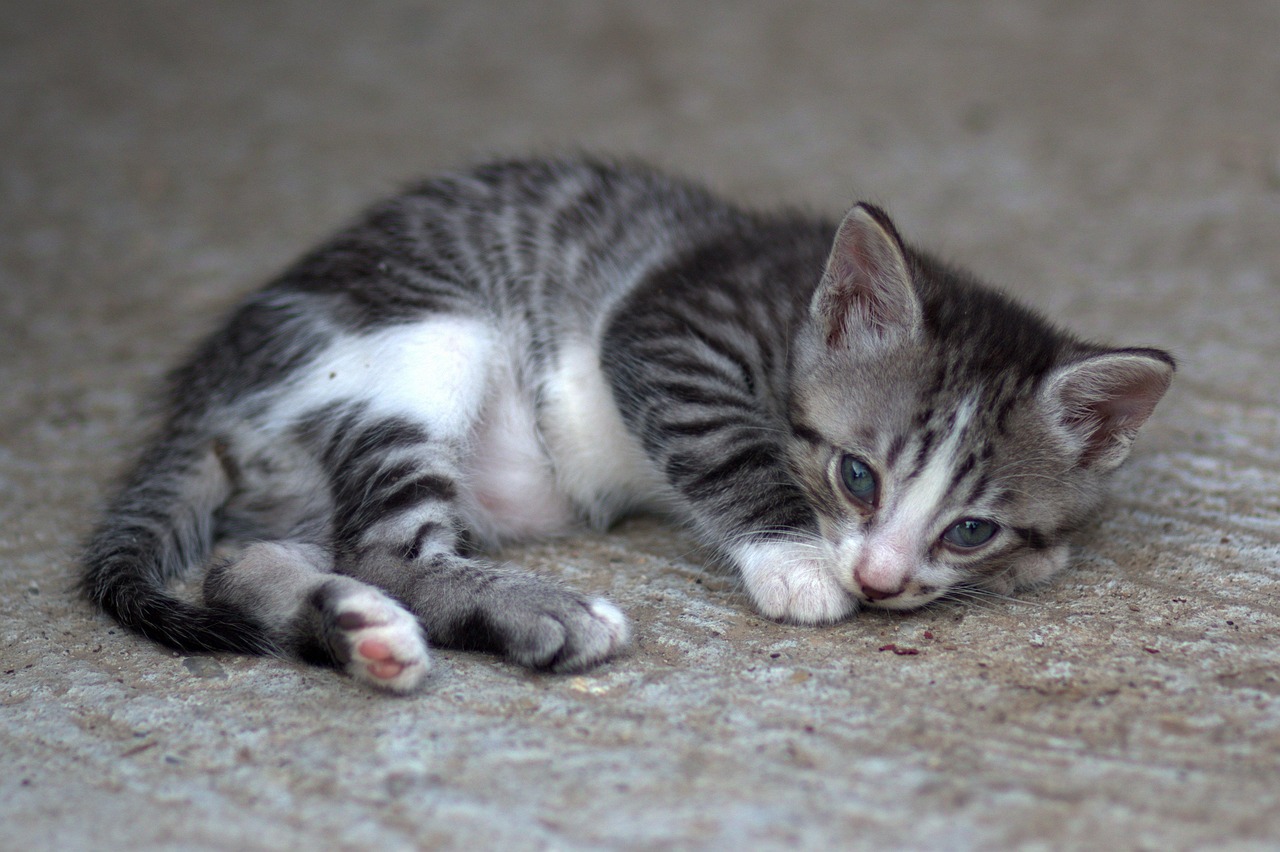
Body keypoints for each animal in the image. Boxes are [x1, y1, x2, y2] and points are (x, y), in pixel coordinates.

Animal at [82, 157, 1172, 690]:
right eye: (856, 476)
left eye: (970, 528)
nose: (878, 578)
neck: (793, 312)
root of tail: (207, 384)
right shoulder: (666, 329)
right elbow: (727, 451)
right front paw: (796, 562)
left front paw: (1029, 562)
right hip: (422, 340)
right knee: (383, 547)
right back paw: (536, 614)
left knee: (250, 565)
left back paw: (360, 632)